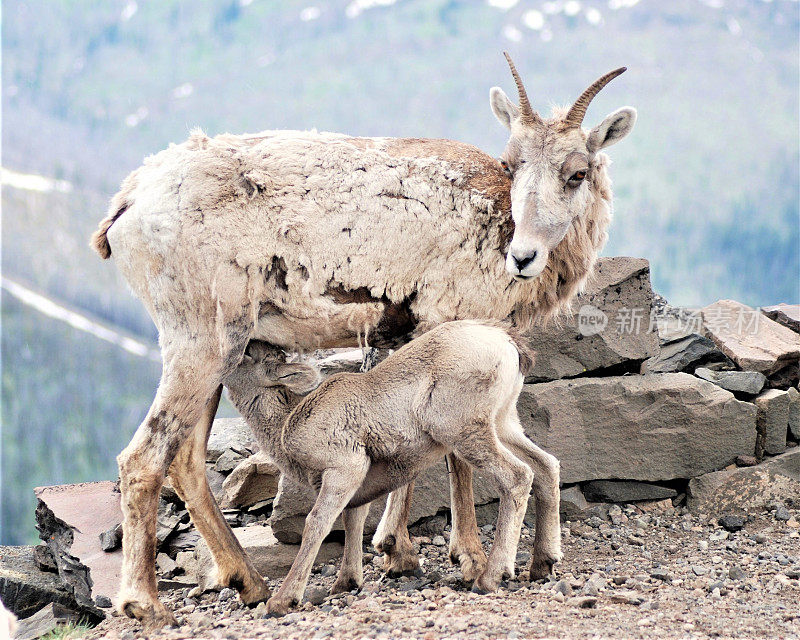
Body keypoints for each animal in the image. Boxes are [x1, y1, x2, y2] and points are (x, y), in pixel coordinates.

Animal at [222, 322, 552, 616]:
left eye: (247, 354)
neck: (287, 422)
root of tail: (507, 343)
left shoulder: (345, 469)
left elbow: (317, 523)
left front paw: (282, 601)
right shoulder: (357, 485)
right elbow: (353, 521)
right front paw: (345, 584)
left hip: (466, 434)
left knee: (518, 477)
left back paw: (490, 578)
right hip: (504, 424)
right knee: (546, 467)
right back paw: (542, 565)